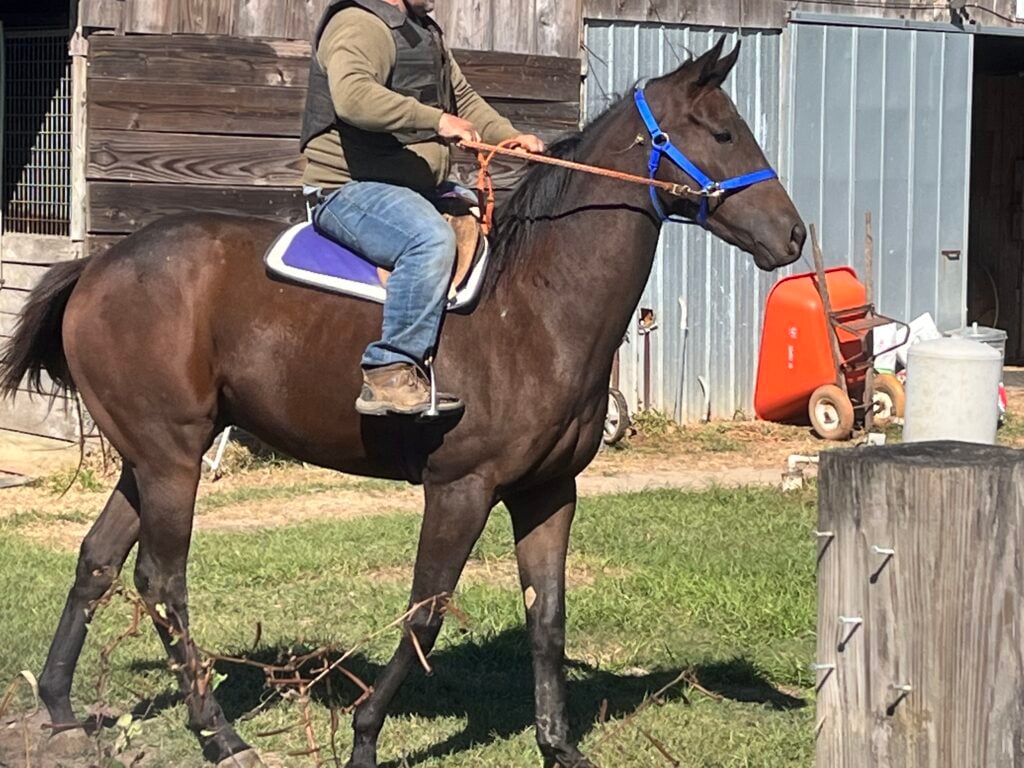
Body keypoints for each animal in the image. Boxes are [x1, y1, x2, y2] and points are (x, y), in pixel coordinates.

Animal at [0, 39, 802, 765]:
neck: (534, 302)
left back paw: (61, 708)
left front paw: (558, 745)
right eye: (721, 132)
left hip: (152, 456)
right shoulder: (460, 488)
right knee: (162, 583)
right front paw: (363, 737)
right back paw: (219, 736)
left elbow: (548, 620)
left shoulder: (548, 492)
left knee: (97, 561)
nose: (794, 234)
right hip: (171, 460)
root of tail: (97, 265)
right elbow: (426, 614)